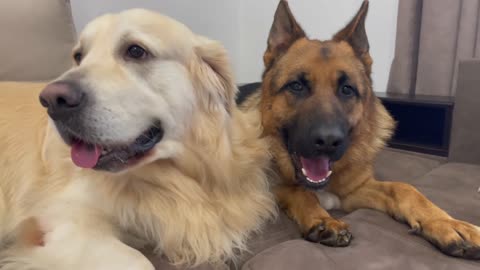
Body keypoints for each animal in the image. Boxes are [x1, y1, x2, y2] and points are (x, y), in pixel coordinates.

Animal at [0, 9, 274, 268]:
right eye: (79, 56)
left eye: (135, 51)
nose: (52, 101)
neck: (181, 176)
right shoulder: (58, 222)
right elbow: (139, 261)